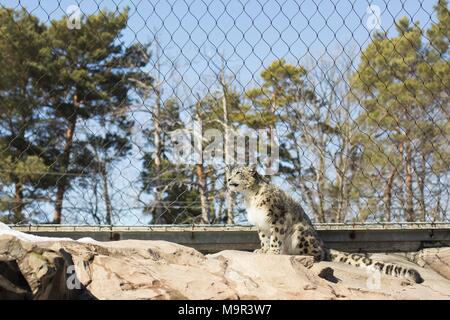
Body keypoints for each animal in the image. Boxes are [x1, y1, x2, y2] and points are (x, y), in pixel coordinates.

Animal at [229, 166, 426, 284]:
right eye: (231, 173)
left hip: (300, 232)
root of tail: (323, 244)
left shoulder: (278, 217)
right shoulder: (260, 224)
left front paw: (272, 252)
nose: (228, 179)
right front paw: (262, 250)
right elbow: (264, 238)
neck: (250, 197)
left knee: (319, 254)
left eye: (238, 173)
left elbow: (275, 237)